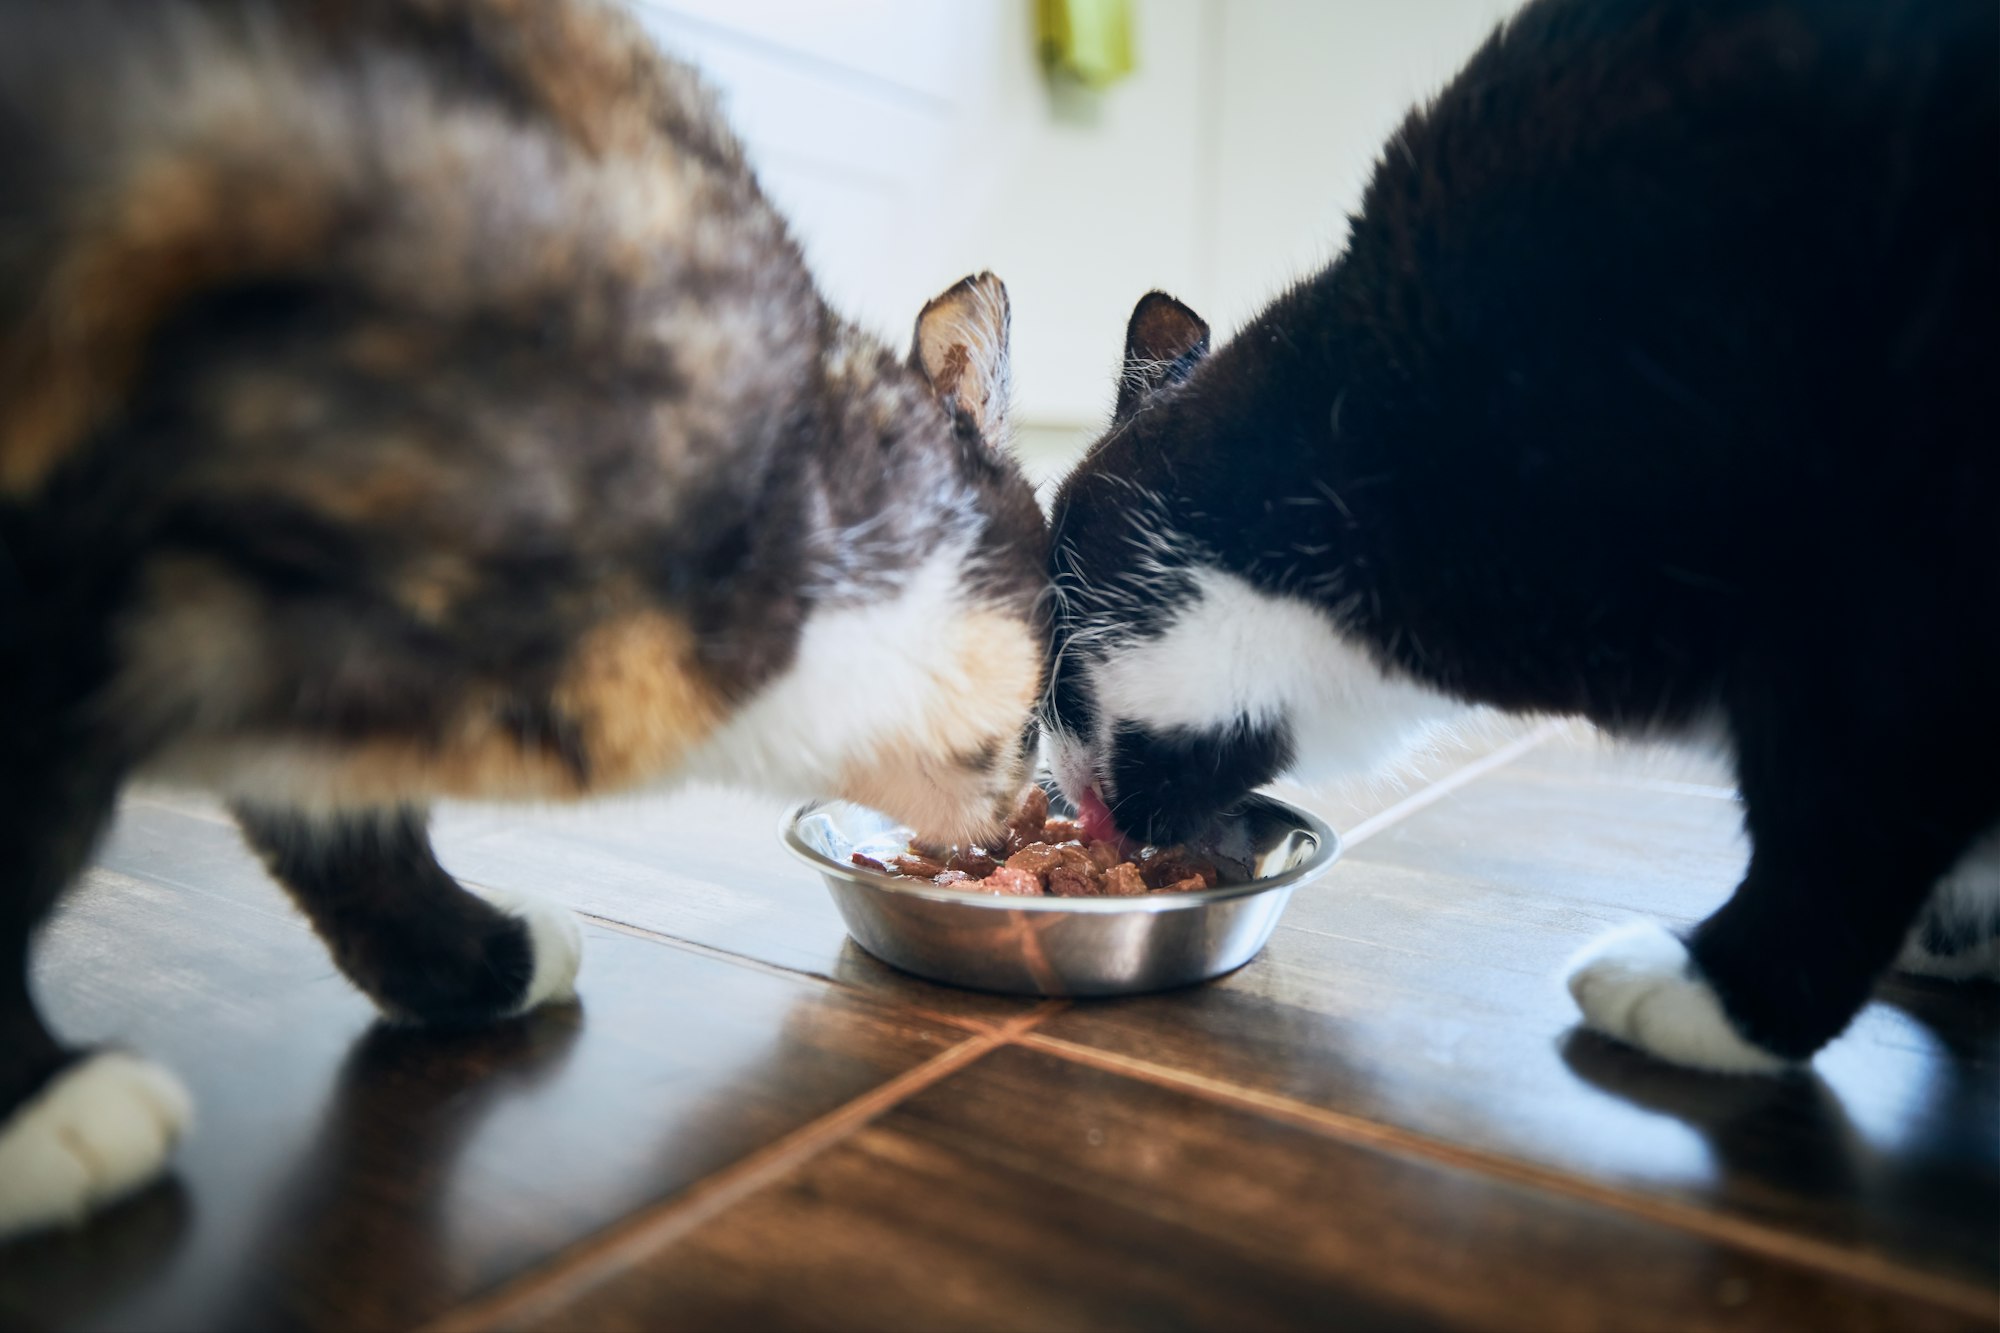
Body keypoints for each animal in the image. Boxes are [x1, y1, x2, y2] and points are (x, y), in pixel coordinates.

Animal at [0, 0, 1056, 1232]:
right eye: (1045, 705)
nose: (1037, 801)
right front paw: (40, 1104)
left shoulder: (308, 659)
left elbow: (350, 833)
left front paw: (477, 962)